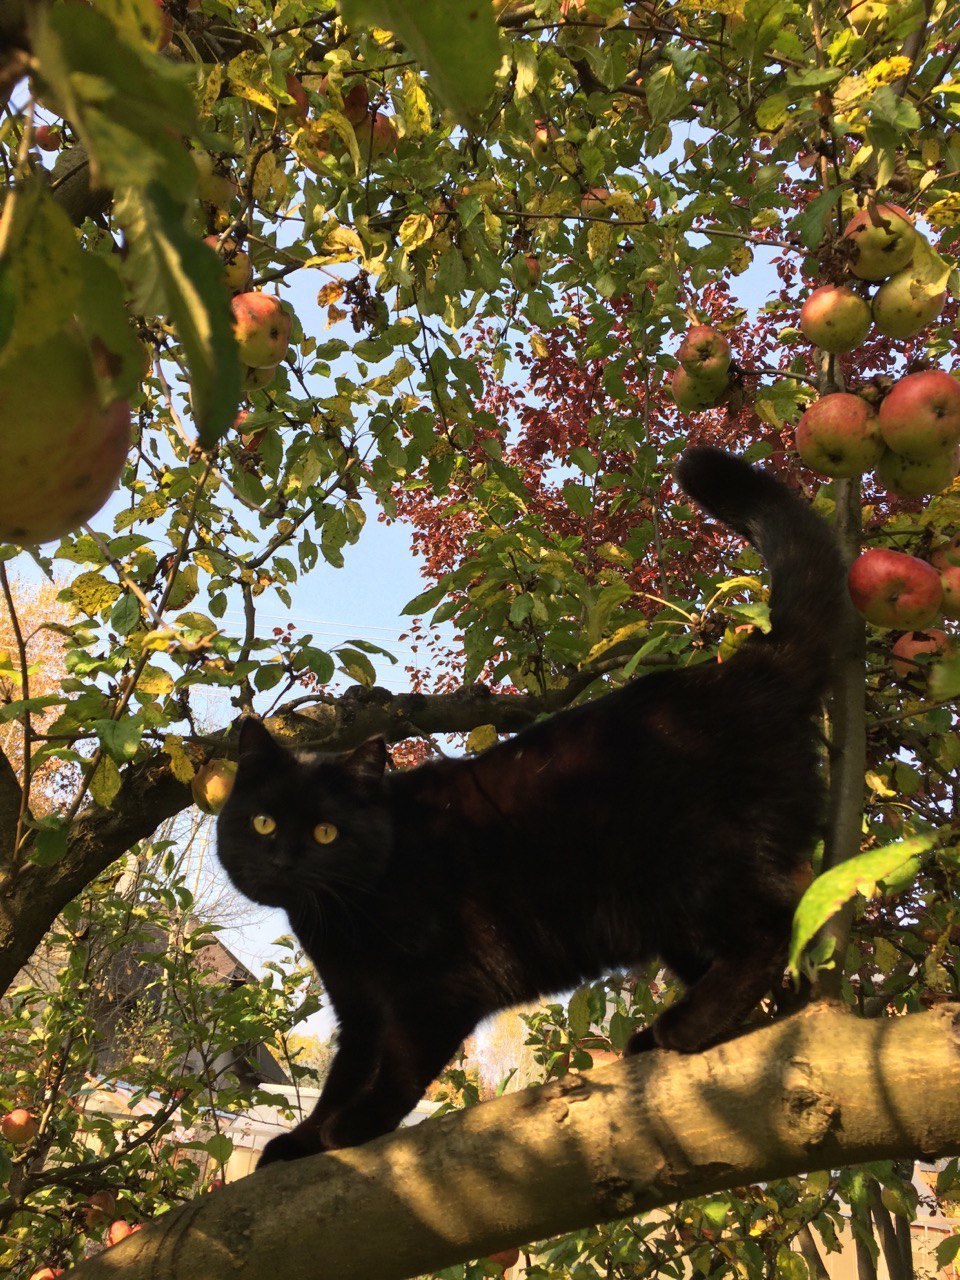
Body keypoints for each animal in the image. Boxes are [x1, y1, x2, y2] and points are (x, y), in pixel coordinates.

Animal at [216, 445, 849, 1167]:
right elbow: (343, 1075)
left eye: (326, 832)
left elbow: (395, 1070)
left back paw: (680, 1029)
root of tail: (749, 667)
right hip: (677, 915)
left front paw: (354, 1129)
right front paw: (303, 1141)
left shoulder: (434, 991)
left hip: (702, 865)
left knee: (776, 921)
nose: (285, 859)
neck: (338, 921)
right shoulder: (360, 1009)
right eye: (263, 821)